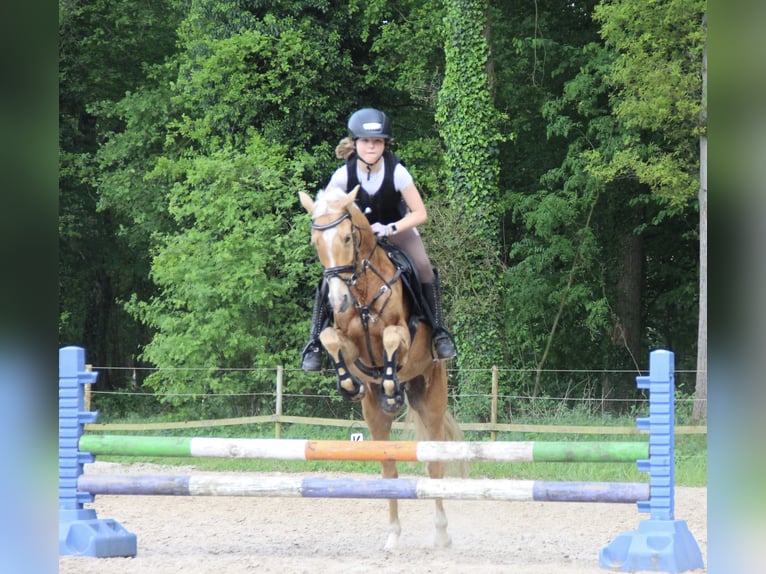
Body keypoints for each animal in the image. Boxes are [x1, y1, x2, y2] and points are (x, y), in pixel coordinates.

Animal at [300, 187, 462, 552]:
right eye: (315, 243)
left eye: (347, 237)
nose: (339, 300)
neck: (360, 292)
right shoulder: (349, 344)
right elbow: (330, 339)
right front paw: (348, 384)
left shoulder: (404, 335)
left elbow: (390, 338)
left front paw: (389, 382)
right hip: (374, 417)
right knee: (389, 469)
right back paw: (393, 536)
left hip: (431, 396)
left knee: (435, 466)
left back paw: (442, 534)